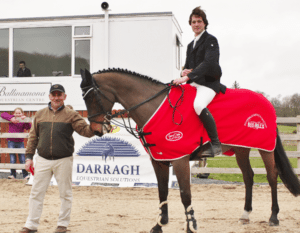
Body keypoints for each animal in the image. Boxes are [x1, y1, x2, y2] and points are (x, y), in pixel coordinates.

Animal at [79, 68, 300, 232]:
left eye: (92, 97)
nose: (96, 130)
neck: (154, 106)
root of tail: (266, 101)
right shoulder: (158, 160)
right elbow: (162, 192)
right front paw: (159, 225)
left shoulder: (180, 159)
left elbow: (185, 194)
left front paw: (191, 225)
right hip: (241, 149)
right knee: (248, 176)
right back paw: (245, 215)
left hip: (266, 149)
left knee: (272, 176)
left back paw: (273, 217)